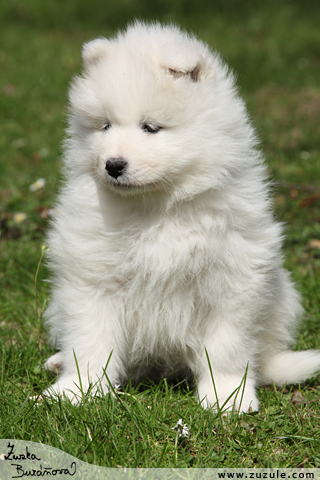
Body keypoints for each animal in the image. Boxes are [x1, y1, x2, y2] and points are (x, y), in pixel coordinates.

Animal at [43, 21, 320, 412]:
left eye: (150, 127)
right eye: (105, 126)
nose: (113, 165)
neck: (158, 206)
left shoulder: (231, 279)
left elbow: (226, 347)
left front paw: (227, 397)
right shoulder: (93, 278)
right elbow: (90, 340)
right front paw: (76, 391)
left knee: (263, 357)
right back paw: (58, 363)